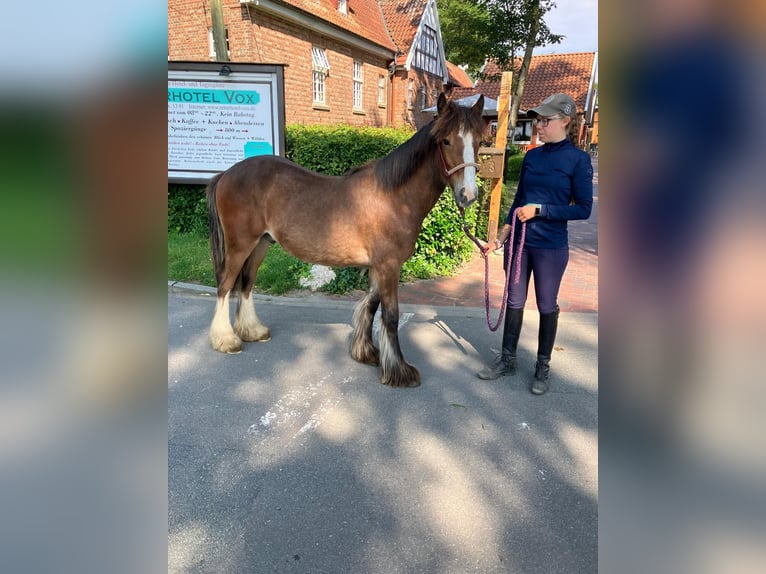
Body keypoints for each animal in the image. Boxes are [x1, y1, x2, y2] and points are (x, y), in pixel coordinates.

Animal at [207, 94, 488, 390]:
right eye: (446, 141)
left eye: (480, 142)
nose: (468, 195)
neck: (393, 197)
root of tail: (225, 174)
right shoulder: (389, 266)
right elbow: (390, 316)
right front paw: (400, 371)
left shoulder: (378, 266)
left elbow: (372, 306)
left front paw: (367, 353)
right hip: (239, 245)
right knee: (225, 285)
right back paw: (226, 340)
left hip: (261, 243)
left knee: (247, 282)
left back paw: (252, 330)